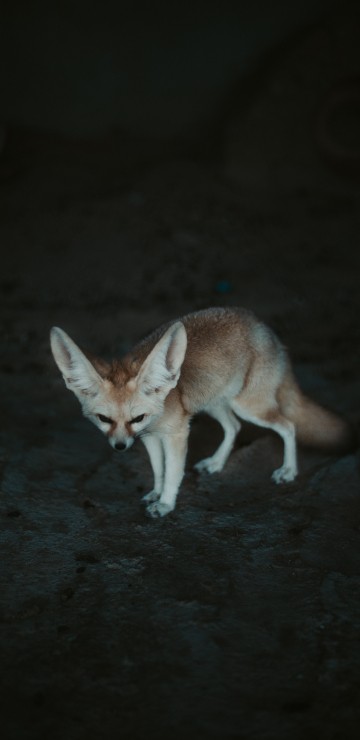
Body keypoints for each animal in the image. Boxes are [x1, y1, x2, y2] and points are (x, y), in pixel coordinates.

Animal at [50, 304, 352, 516]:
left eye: (137, 417)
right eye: (104, 419)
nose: (120, 447)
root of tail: (264, 328)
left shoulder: (176, 434)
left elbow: (173, 472)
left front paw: (166, 503)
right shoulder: (149, 437)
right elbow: (158, 469)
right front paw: (156, 492)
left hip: (249, 407)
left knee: (288, 426)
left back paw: (288, 470)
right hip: (215, 404)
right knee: (234, 427)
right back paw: (217, 463)